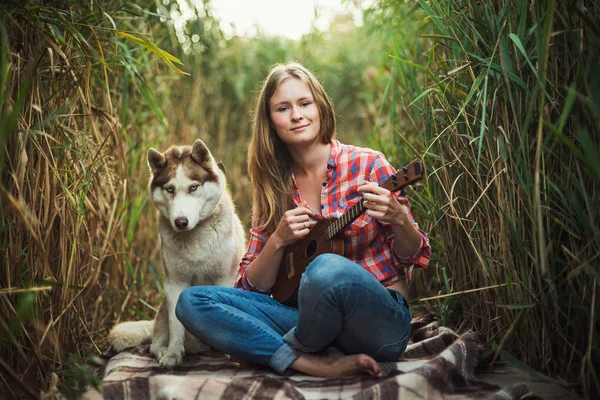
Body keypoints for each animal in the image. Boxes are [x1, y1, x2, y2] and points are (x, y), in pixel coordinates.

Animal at [108, 139, 246, 368]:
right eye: (170, 189)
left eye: (193, 187)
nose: (181, 222)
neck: (196, 236)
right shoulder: (174, 284)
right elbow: (176, 324)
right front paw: (173, 353)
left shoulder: (225, 278)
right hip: (163, 308)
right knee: (155, 344)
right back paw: (167, 350)